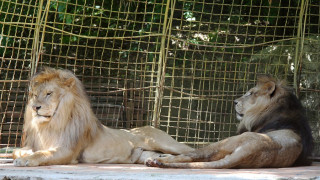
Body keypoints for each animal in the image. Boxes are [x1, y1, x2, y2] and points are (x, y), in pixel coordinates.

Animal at [12, 68, 194, 167]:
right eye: (35, 95)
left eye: (49, 93)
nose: (35, 107)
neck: (51, 123)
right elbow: (16, 151)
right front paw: (22, 156)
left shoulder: (68, 150)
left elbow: (43, 154)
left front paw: (26, 160)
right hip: (146, 153)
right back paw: (159, 161)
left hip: (162, 142)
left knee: (194, 152)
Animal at [146, 75, 314, 169]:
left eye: (251, 93)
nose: (234, 102)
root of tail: (252, 149)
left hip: (227, 142)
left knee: (193, 154)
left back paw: (158, 160)